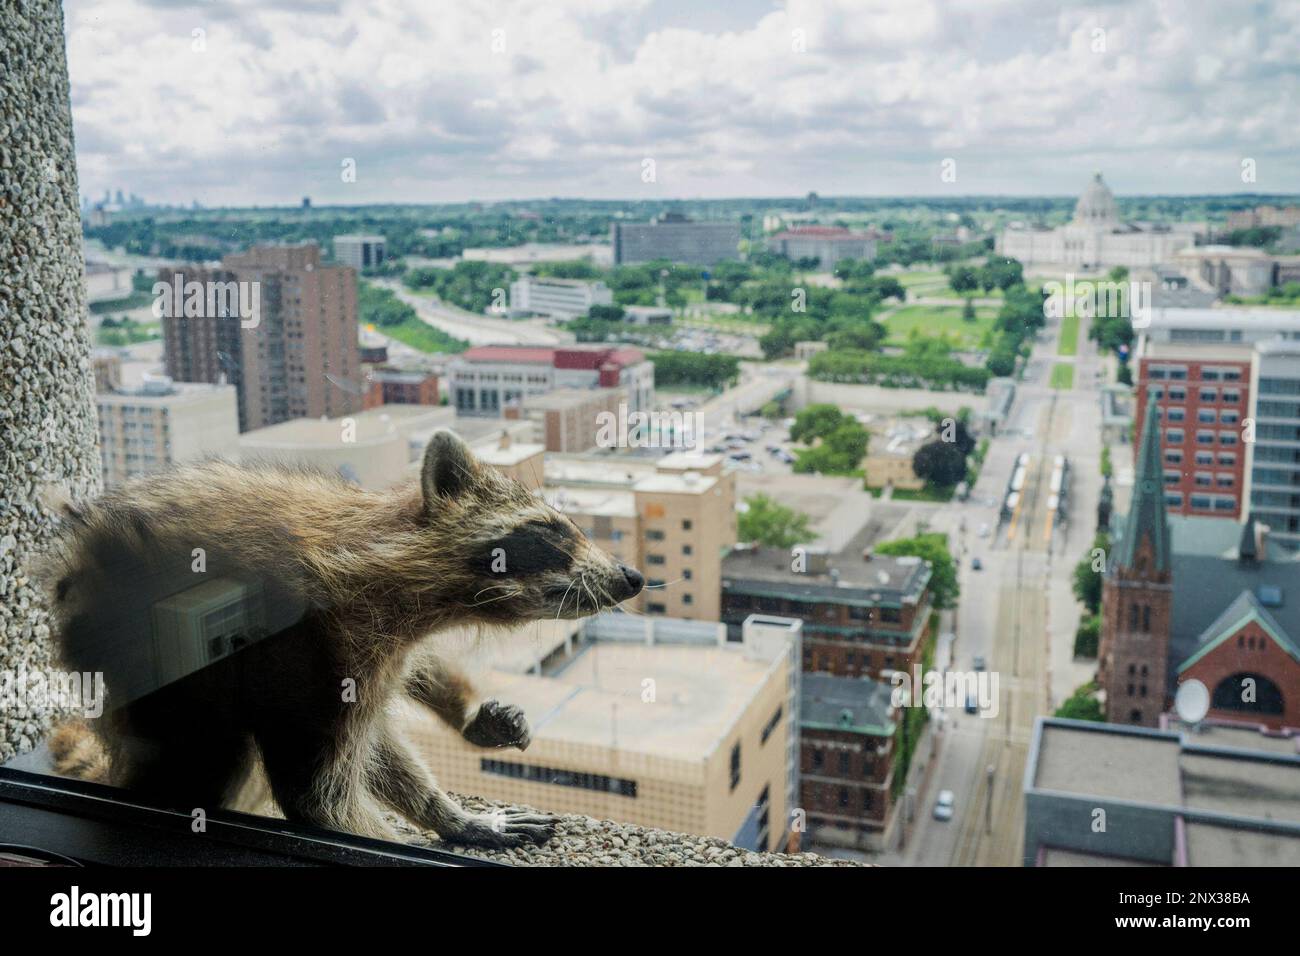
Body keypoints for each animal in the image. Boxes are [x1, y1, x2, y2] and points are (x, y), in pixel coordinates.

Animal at [43, 430, 644, 848]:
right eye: (550, 530)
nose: (632, 577)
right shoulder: (311, 643)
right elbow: (319, 798)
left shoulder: (383, 645)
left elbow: (386, 729)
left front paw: (450, 802)